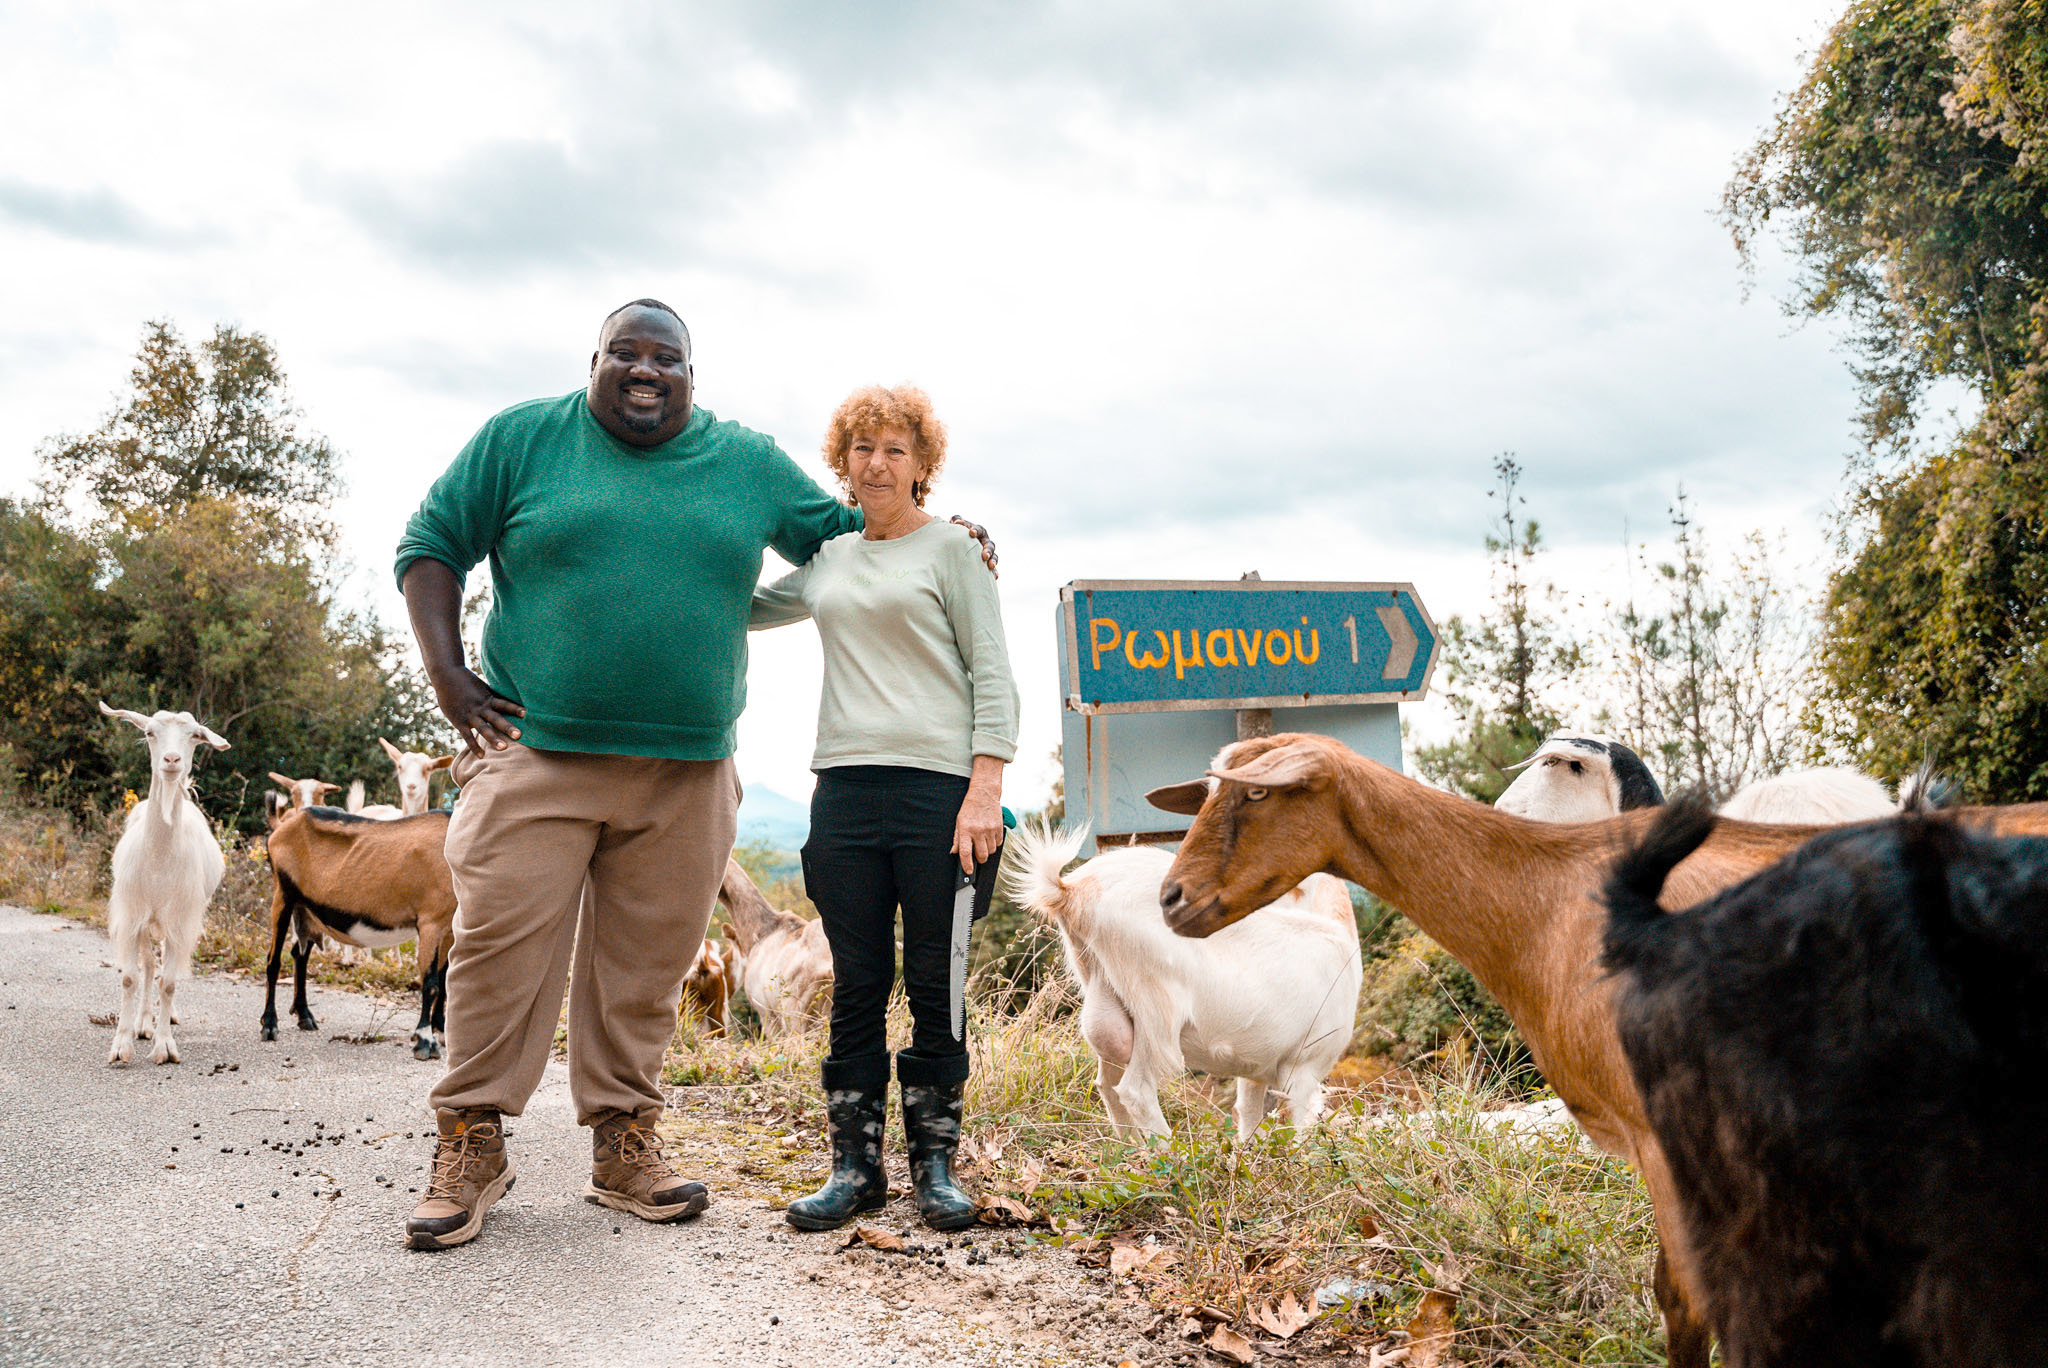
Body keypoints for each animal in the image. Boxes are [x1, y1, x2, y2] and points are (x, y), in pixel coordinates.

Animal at [260, 806, 456, 1064]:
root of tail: (283, 826)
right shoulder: (430, 922)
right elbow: (431, 983)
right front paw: (425, 1042)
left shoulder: (449, 927)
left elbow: (443, 981)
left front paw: (441, 1032)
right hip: (283, 894)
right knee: (273, 961)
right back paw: (269, 1025)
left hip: (307, 909)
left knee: (299, 954)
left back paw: (305, 1016)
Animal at [1003, 827, 1359, 1138]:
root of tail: (1073, 890)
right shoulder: (1304, 1068)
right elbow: (1300, 1128)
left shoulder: (1257, 1068)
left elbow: (1249, 1116)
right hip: (1156, 1005)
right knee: (1136, 1089)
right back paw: (1169, 1156)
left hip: (1104, 993)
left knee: (1107, 1083)